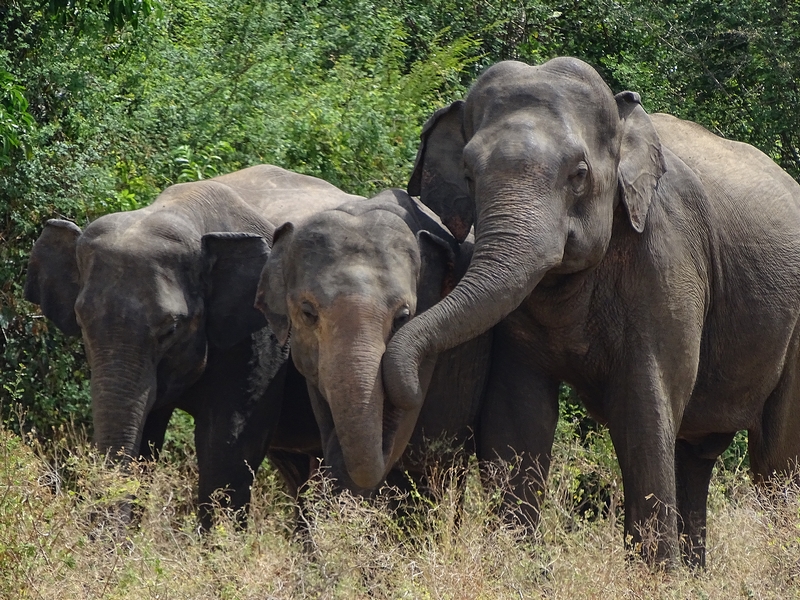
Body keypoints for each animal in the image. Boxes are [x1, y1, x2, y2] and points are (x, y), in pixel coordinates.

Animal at [24, 165, 357, 528]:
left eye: (170, 330)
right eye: (81, 324)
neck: (182, 210)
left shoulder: (260, 335)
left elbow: (228, 445)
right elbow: (147, 431)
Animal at [382, 57, 800, 567]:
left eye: (578, 173)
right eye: (468, 173)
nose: (402, 388)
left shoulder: (668, 257)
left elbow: (643, 409)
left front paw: (653, 578)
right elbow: (517, 416)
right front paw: (512, 567)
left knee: (777, 461)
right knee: (695, 457)